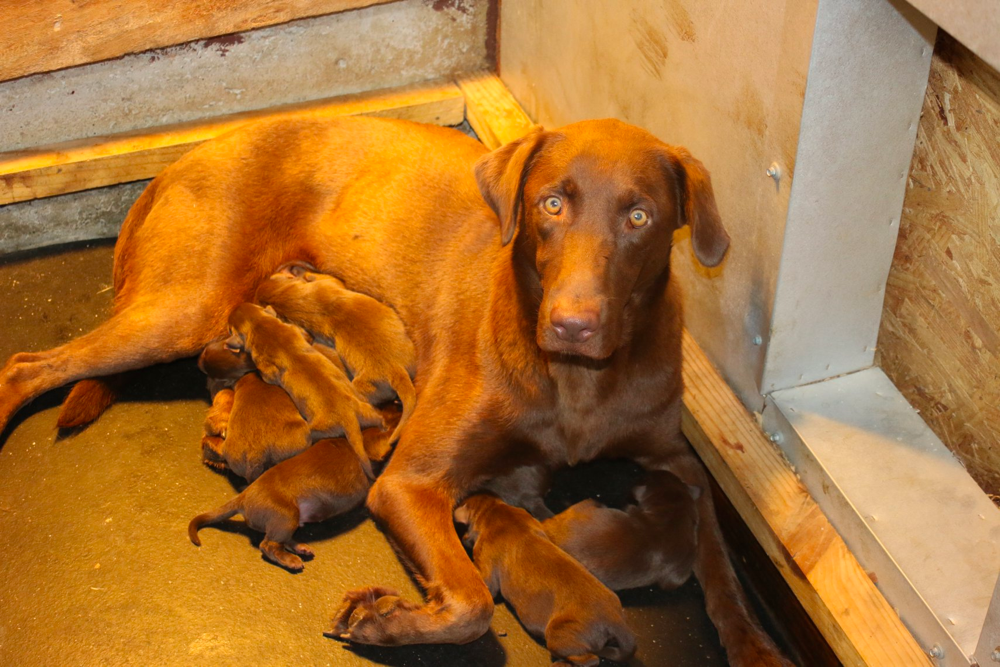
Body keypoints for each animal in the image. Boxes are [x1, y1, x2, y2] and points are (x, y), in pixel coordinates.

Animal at [226, 302, 382, 480]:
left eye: (229, 328)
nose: (238, 305)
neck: (260, 324)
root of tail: (349, 420)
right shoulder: (295, 330)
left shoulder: (265, 364)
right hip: (368, 411)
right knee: (380, 419)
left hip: (315, 431)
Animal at [452, 494, 632, 664]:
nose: (463, 538)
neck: (494, 511)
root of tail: (615, 619)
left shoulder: (487, 564)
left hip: (559, 633)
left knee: (590, 659)